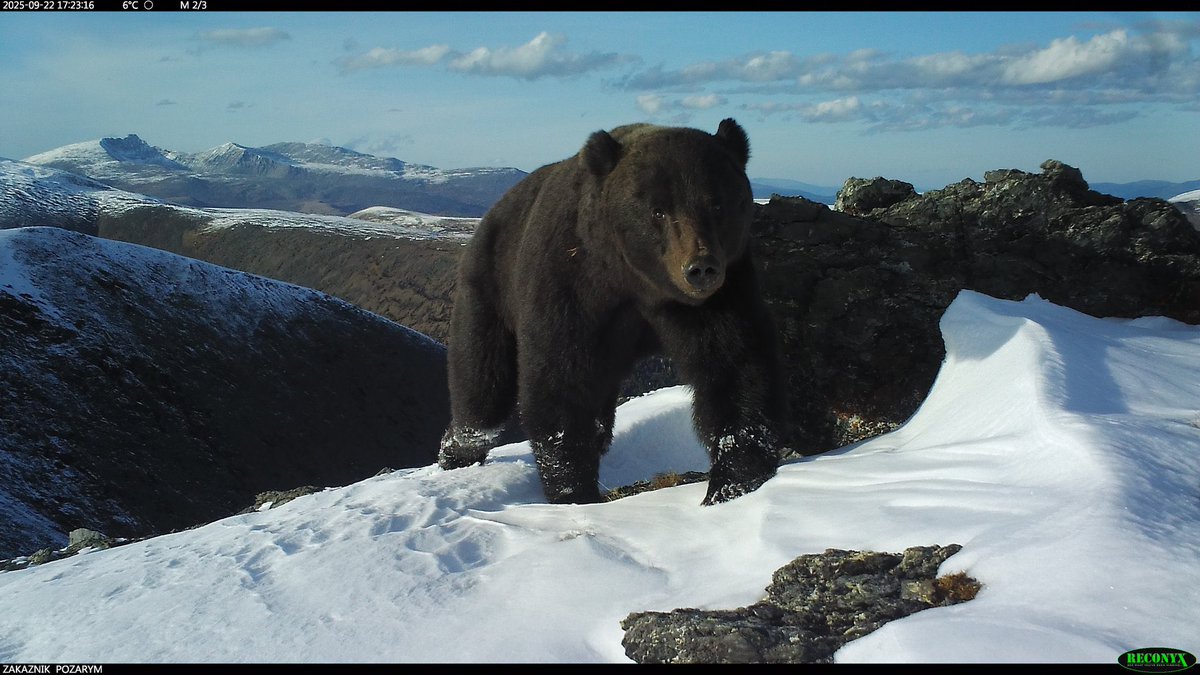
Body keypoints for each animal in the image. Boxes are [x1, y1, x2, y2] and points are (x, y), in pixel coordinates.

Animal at [438, 118, 787, 505]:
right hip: (488, 292)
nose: (700, 268)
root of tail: (490, 217)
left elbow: (734, 364)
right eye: (657, 209)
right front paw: (573, 490)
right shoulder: (572, 285)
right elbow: (559, 381)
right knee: (482, 391)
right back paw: (456, 454)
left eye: (717, 203)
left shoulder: (721, 295)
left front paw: (730, 482)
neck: (637, 281)